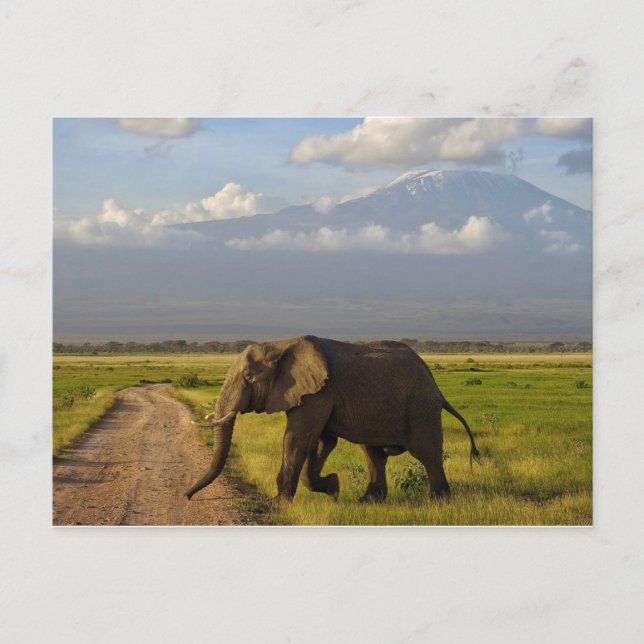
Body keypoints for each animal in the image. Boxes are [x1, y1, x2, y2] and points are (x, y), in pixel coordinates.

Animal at [185, 335, 479, 503]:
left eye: (249, 377)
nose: (187, 496)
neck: (279, 345)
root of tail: (435, 384)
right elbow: (321, 442)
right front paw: (334, 488)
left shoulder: (319, 392)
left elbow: (298, 440)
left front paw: (277, 503)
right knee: (374, 454)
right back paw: (368, 501)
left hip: (421, 408)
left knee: (427, 453)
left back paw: (439, 502)